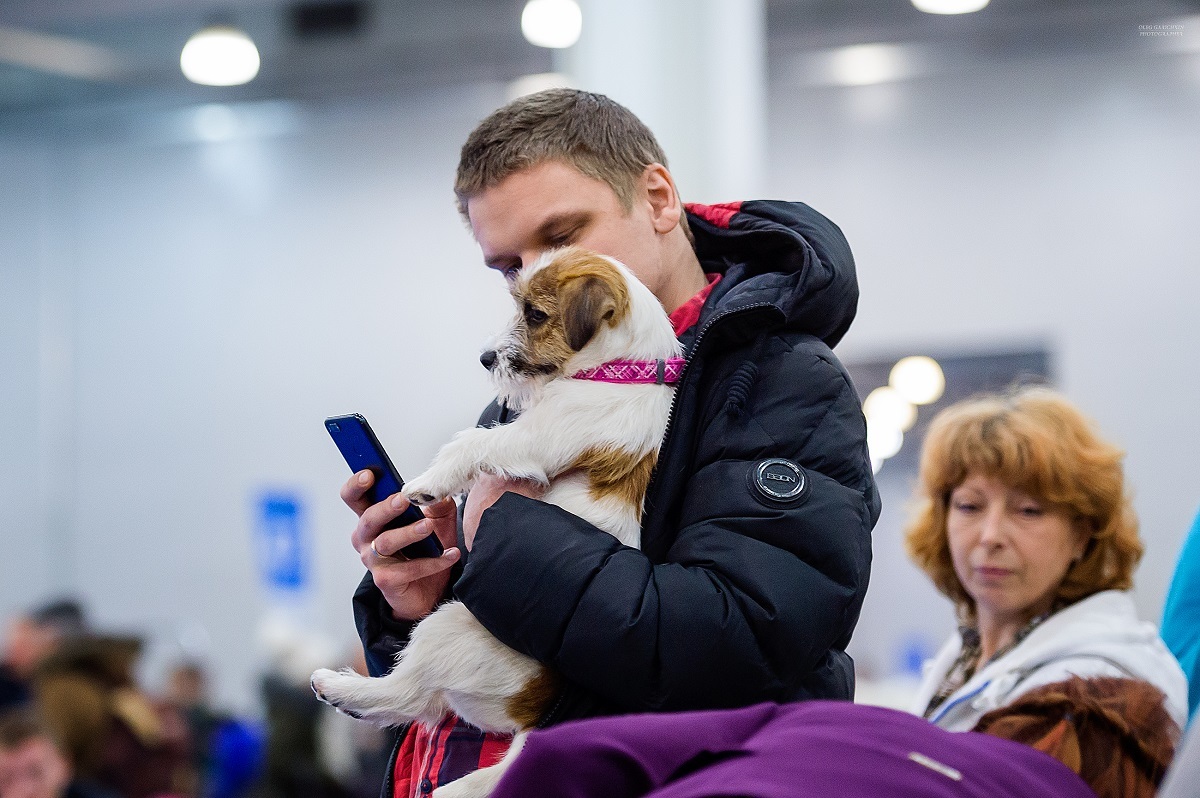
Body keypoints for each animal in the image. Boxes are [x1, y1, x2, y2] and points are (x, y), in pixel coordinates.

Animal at [309, 246, 686, 792]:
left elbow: (474, 442)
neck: (618, 369)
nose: (486, 358)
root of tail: (533, 716)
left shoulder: (537, 437)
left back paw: (339, 687)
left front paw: (427, 482)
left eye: (535, 314)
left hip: (450, 628)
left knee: (405, 694)